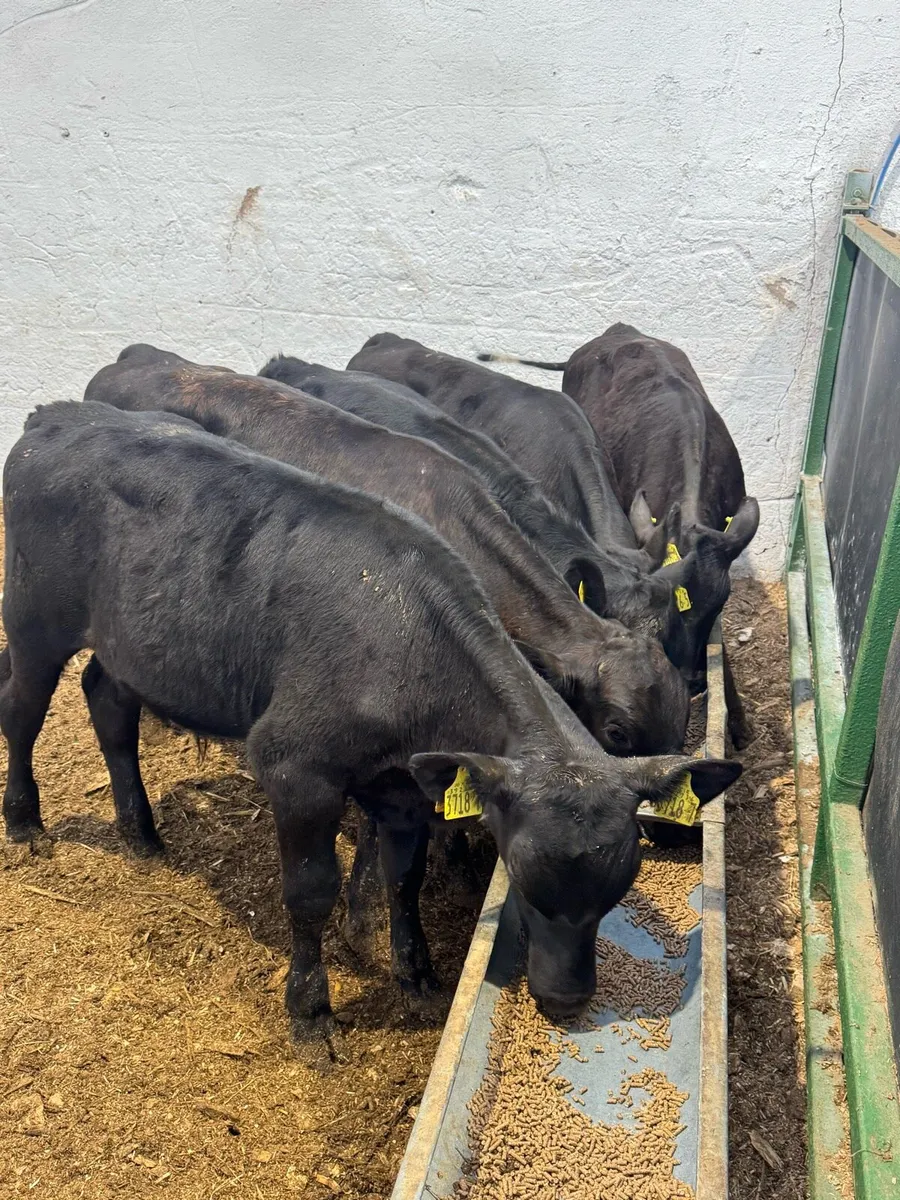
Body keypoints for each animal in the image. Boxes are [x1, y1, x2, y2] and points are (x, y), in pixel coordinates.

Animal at [1, 401, 740, 1060]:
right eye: (526, 886)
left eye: (615, 892)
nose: (566, 1000)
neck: (412, 641)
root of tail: (55, 416)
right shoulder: (295, 767)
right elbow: (310, 892)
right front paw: (312, 1012)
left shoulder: (405, 786)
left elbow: (403, 876)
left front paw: (415, 973)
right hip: (34, 619)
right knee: (21, 709)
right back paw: (26, 824)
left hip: (129, 641)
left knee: (107, 700)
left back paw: (141, 834)